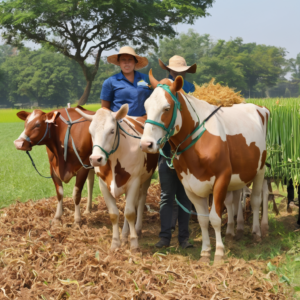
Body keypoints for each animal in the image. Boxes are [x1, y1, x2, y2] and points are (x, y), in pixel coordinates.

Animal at [76, 105, 158, 251]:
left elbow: (130, 213)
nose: (96, 159)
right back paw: (124, 235)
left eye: (112, 130)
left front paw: (134, 243)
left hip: (145, 178)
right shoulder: (103, 184)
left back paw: (136, 229)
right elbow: (114, 214)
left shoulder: (134, 182)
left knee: (140, 201)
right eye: (90, 131)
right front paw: (115, 243)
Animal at [141, 72, 270, 262]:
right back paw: (235, 230)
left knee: (255, 199)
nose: (146, 144)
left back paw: (257, 233)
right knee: (235, 200)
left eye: (166, 108)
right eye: (146, 106)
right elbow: (203, 219)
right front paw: (205, 252)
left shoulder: (222, 177)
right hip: (239, 174)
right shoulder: (189, 185)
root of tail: (259, 107)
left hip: (260, 170)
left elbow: (215, 218)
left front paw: (219, 253)